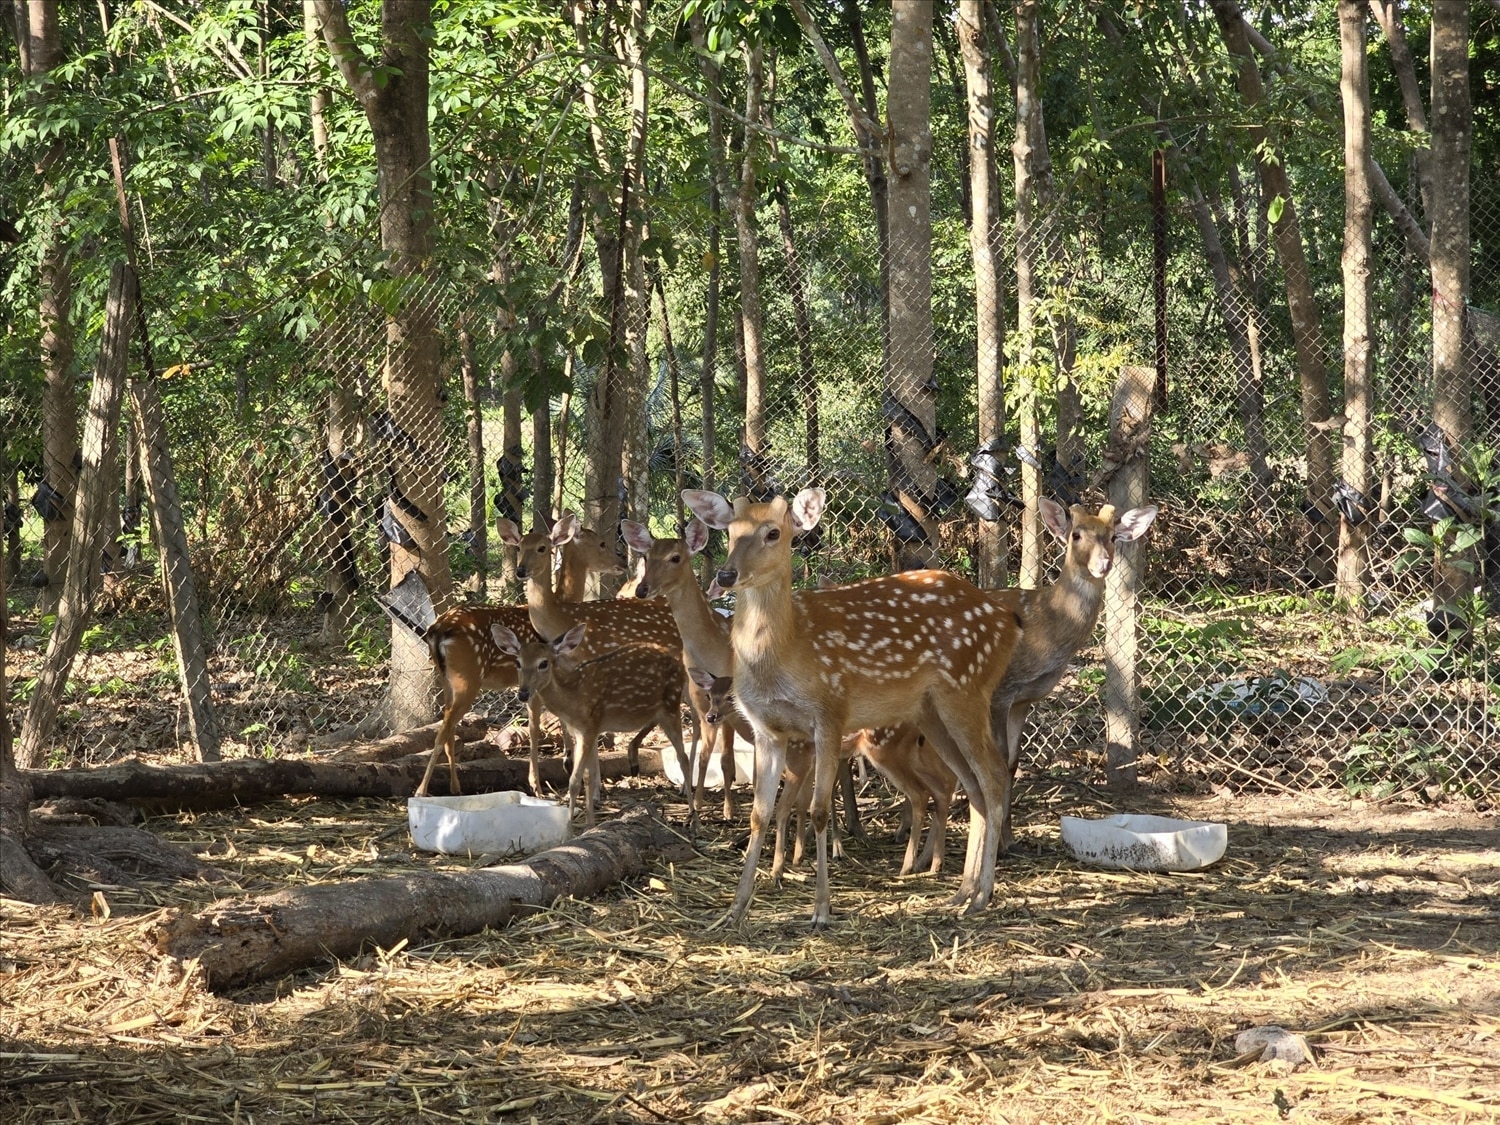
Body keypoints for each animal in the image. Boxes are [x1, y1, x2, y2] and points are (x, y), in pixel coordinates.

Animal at [492, 627, 690, 828]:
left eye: (543, 663)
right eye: (518, 662)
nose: (523, 694)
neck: (572, 699)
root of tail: (680, 664)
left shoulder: (588, 727)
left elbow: (574, 780)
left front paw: (570, 825)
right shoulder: (586, 730)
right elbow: (589, 776)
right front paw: (590, 822)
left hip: (671, 705)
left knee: (684, 758)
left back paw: (692, 816)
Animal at [684, 489, 1026, 930]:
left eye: (773, 533)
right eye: (729, 531)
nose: (726, 576)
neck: (787, 651)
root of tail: (1009, 620)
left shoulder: (830, 712)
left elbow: (818, 811)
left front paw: (821, 910)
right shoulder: (767, 729)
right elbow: (760, 813)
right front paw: (735, 909)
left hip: (967, 689)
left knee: (994, 774)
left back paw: (982, 895)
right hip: (932, 711)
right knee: (970, 784)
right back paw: (961, 892)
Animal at [996, 501, 1158, 804]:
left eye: (1113, 537)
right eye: (1076, 535)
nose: (1103, 563)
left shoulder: (1022, 698)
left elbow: (1011, 762)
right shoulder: (998, 690)